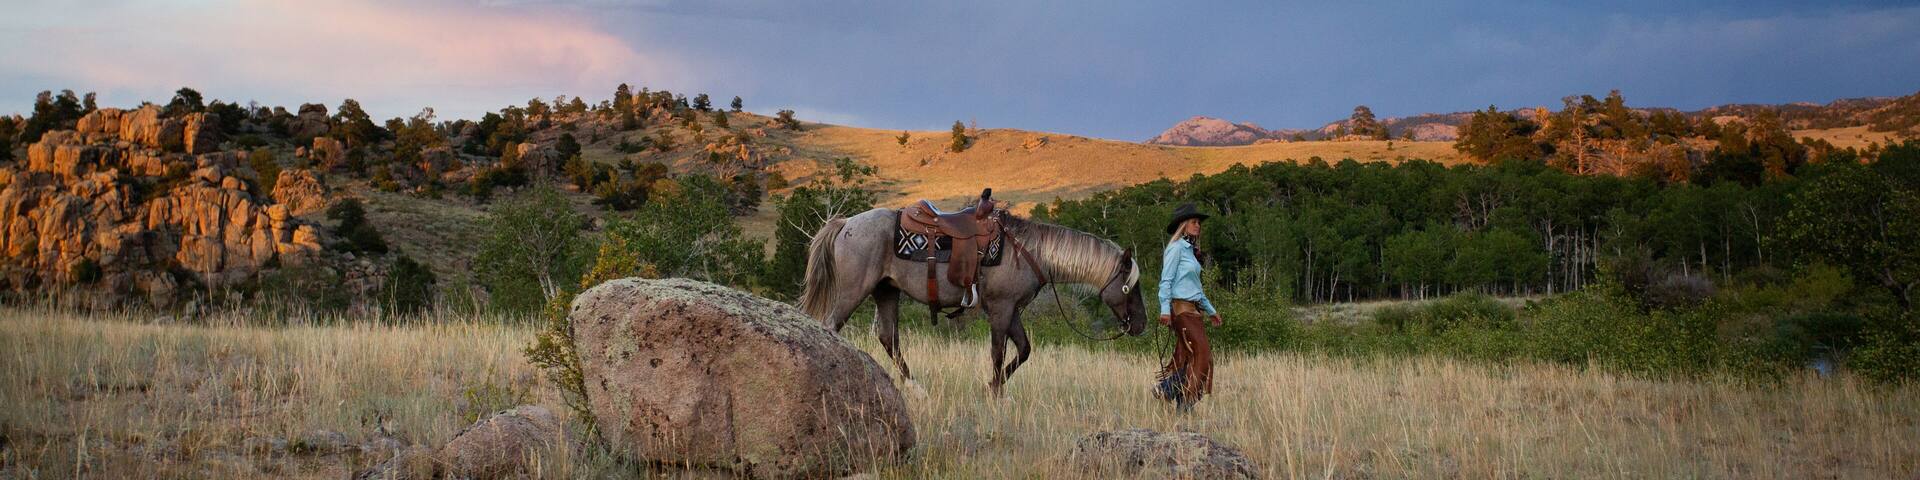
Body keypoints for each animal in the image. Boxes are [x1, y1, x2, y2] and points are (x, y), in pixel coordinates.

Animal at [798, 207, 1148, 397]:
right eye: (1130, 287)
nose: (1141, 325)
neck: (1030, 251)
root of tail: (846, 223)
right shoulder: (1001, 308)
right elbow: (997, 353)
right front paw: (993, 391)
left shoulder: (1012, 310)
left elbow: (1023, 350)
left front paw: (995, 388)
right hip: (854, 290)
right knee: (832, 326)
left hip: (886, 291)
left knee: (889, 337)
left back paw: (916, 388)